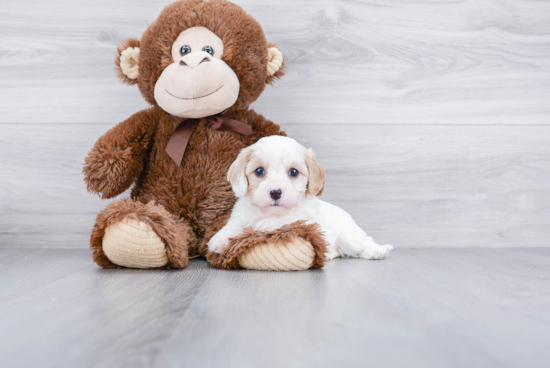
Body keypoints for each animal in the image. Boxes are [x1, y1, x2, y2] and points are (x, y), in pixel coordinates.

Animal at [209, 137, 394, 260]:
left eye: (293, 172)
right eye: (259, 171)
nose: (275, 192)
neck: (269, 211)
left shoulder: (310, 223)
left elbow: (290, 219)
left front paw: (266, 223)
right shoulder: (241, 214)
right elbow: (234, 225)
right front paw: (218, 239)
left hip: (349, 236)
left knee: (363, 242)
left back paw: (377, 251)